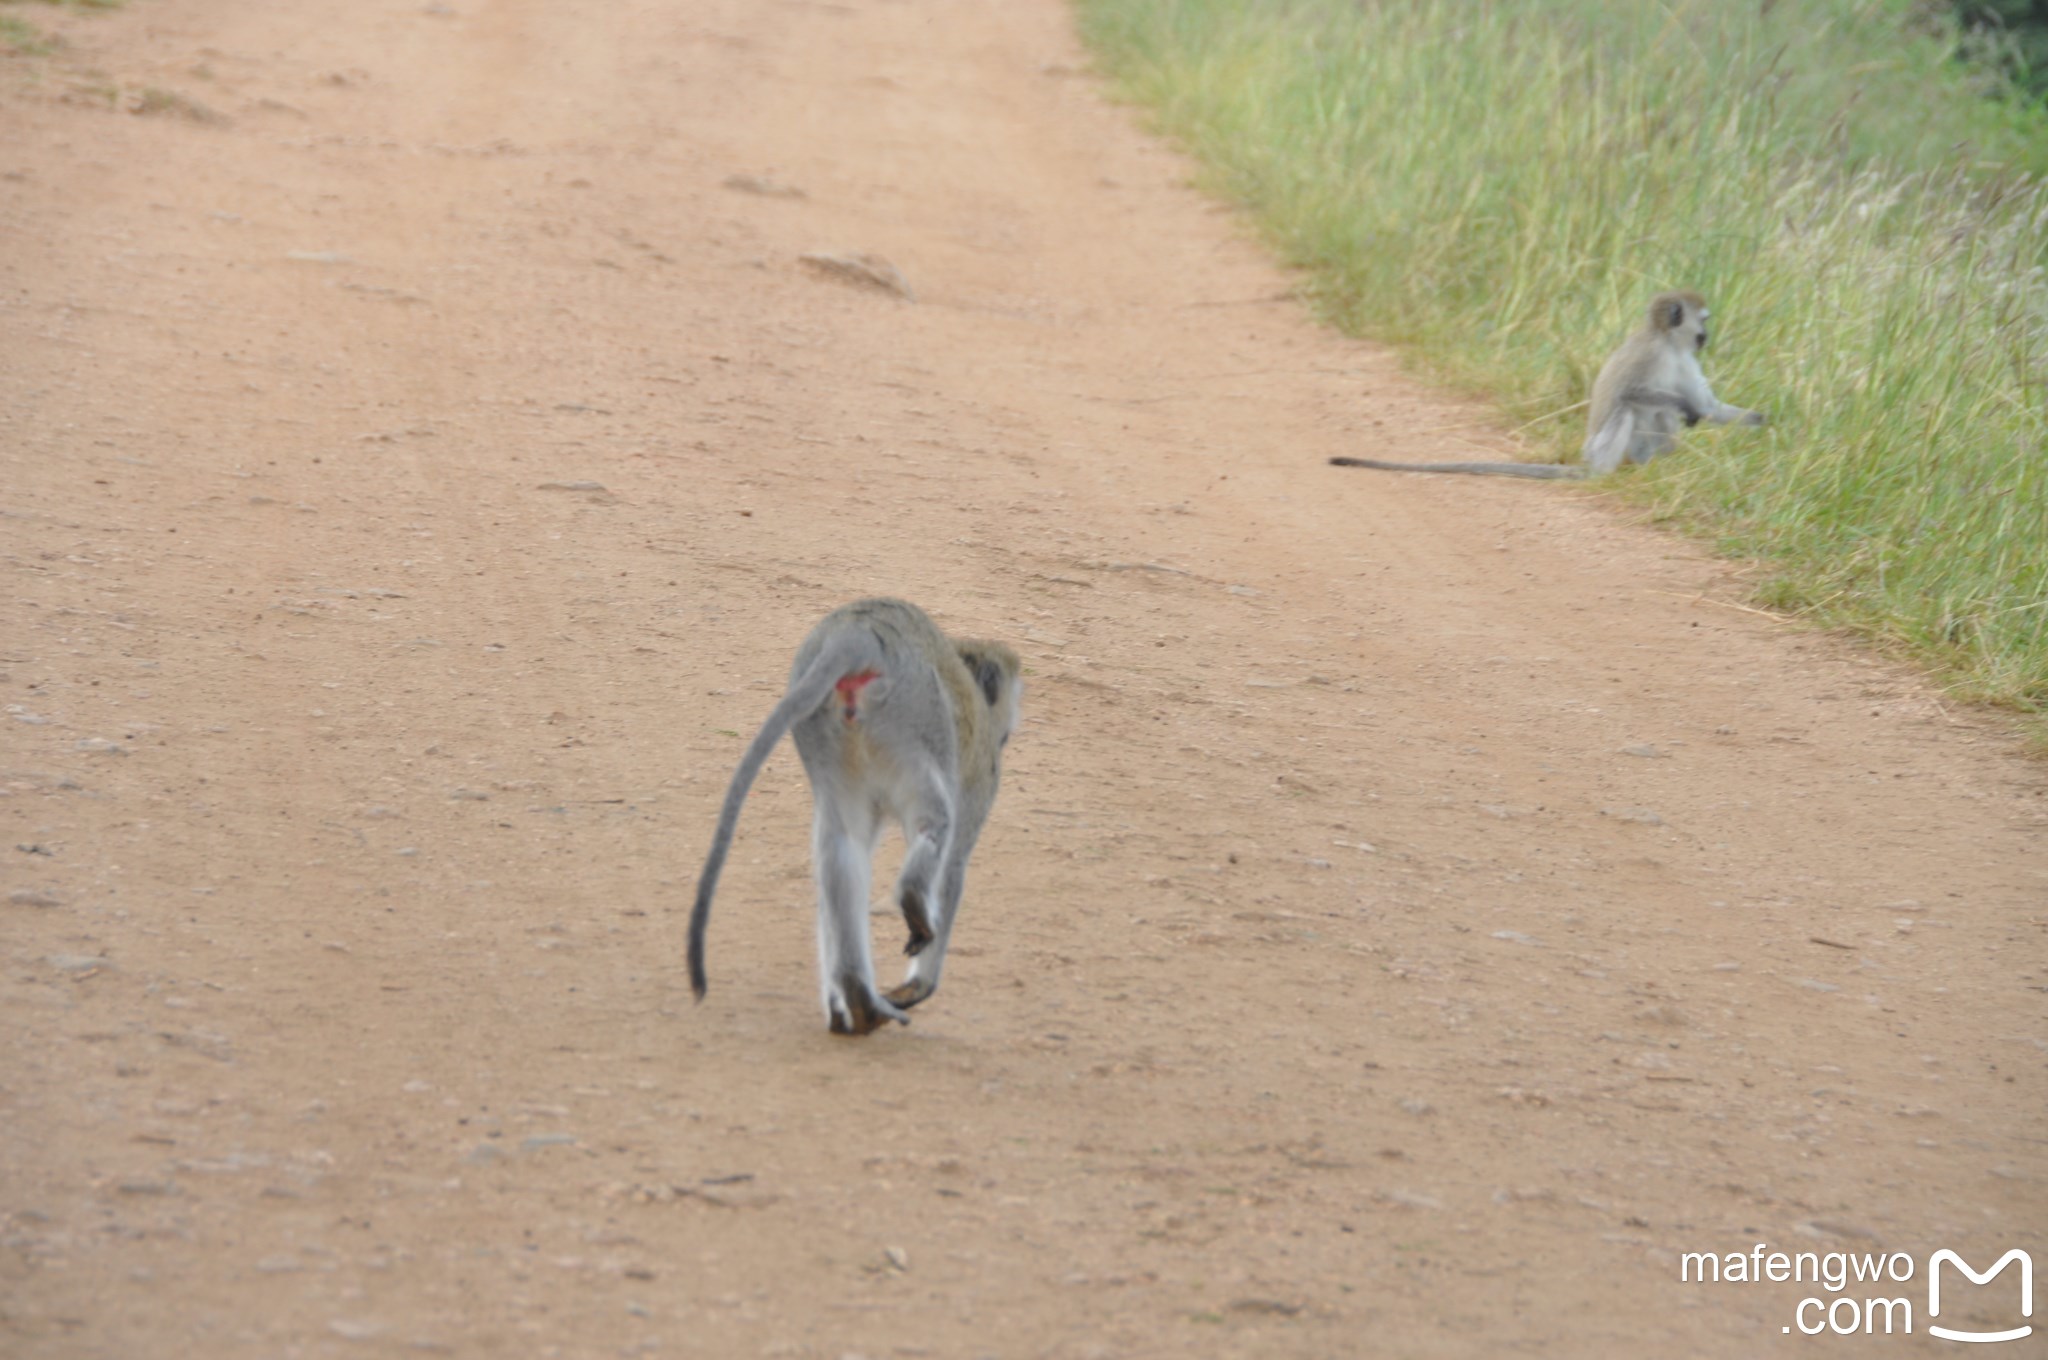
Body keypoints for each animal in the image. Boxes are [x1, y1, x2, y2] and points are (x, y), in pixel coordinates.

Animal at [688, 602, 1024, 1036]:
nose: (1008, 731)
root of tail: (856, 633)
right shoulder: (981, 773)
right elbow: (953, 867)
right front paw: (918, 985)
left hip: (823, 726)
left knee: (842, 846)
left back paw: (856, 998)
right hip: (915, 717)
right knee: (933, 821)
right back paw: (910, 899)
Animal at [1327, 290, 1761, 477]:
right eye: (1702, 320)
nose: (1706, 337)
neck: (1668, 344)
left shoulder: (1685, 360)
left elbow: (1708, 407)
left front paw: (1761, 421)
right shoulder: (1650, 356)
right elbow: (1634, 394)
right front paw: (1688, 410)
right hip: (1604, 448)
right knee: (1634, 409)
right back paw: (1605, 473)